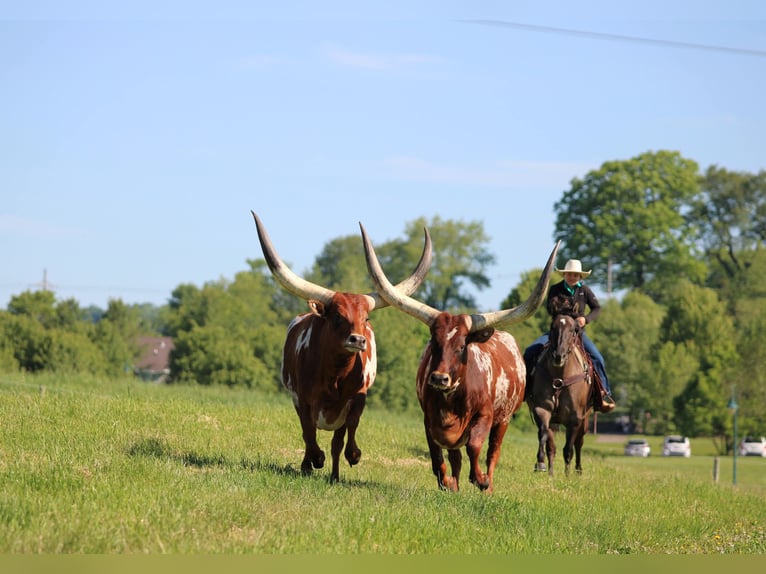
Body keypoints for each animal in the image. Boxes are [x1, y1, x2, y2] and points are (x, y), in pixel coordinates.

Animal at [526, 314, 594, 476]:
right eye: (552, 327)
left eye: (573, 329)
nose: (558, 356)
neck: (560, 378)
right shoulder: (542, 410)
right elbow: (545, 437)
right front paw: (542, 465)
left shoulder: (575, 419)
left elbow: (569, 449)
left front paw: (567, 476)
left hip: (585, 419)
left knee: (579, 443)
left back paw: (578, 471)